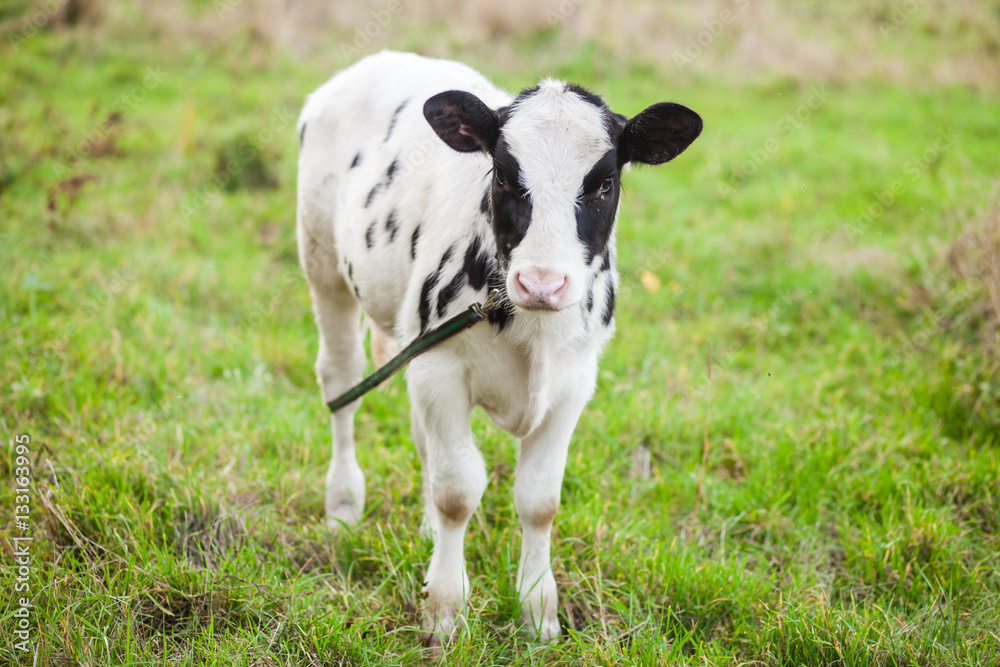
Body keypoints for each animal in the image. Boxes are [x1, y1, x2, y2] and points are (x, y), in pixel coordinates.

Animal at [294, 52, 704, 648]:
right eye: (506, 176)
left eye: (604, 183)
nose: (543, 282)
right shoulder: (440, 369)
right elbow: (459, 491)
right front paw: (445, 611)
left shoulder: (572, 386)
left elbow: (539, 500)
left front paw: (537, 609)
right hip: (323, 265)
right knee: (342, 385)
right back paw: (343, 504)